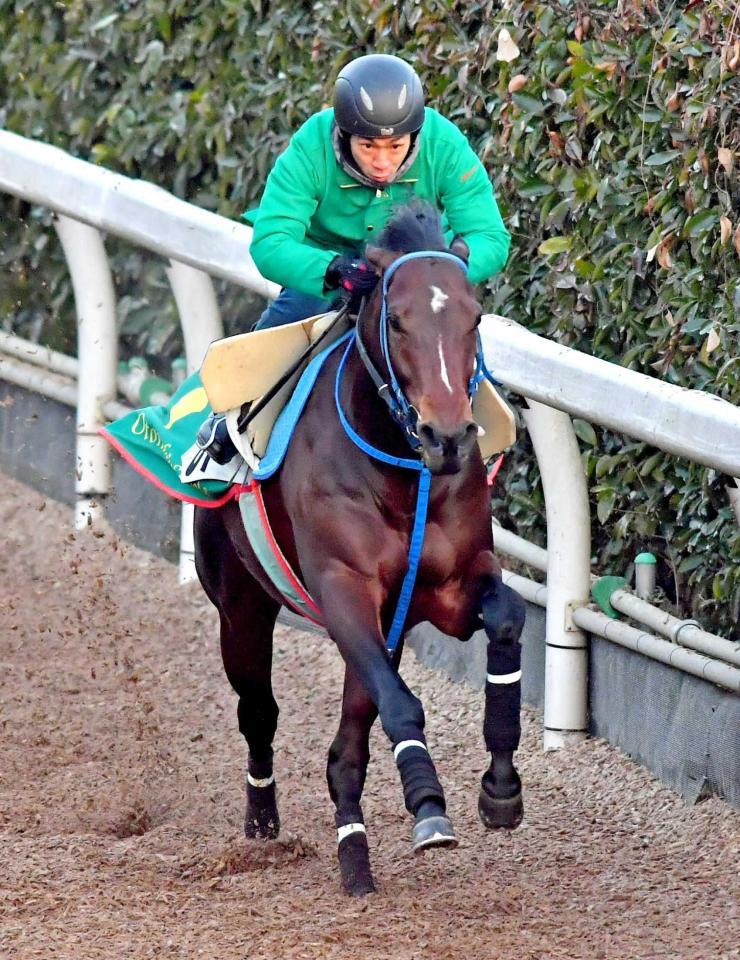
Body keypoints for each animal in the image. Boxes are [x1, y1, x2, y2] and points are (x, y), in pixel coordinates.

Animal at [192, 199, 528, 896]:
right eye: (396, 321)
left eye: (475, 316)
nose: (448, 436)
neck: (400, 472)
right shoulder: (344, 589)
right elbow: (401, 705)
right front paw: (429, 806)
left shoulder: (446, 586)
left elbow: (507, 618)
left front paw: (501, 789)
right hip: (240, 607)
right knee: (259, 712)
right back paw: (263, 822)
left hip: (382, 629)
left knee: (343, 752)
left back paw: (354, 856)